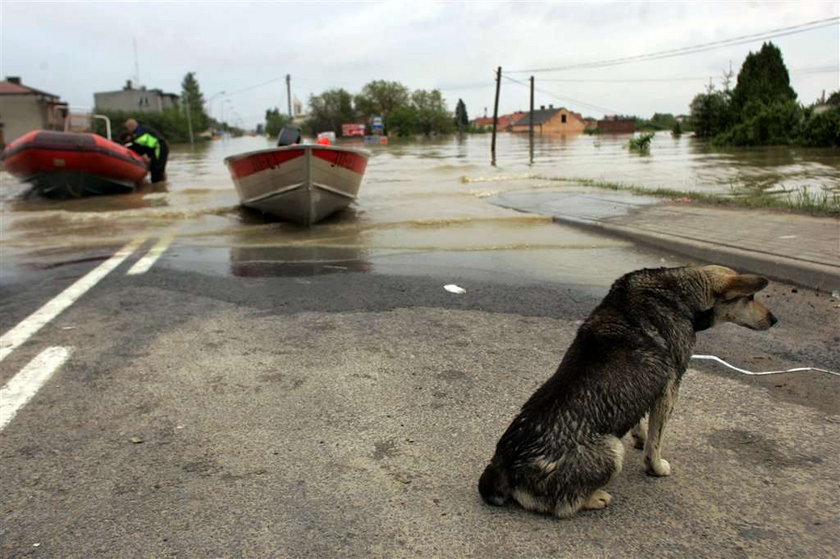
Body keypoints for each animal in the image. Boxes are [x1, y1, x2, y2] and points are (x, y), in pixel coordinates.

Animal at [476, 264, 776, 520]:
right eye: (750, 297)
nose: (774, 319)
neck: (675, 289)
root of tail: (505, 465)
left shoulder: (648, 387)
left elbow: (641, 421)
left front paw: (640, 436)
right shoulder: (670, 389)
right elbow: (655, 443)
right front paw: (656, 467)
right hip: (611, 448)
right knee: (563, 506)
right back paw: (594, 498)